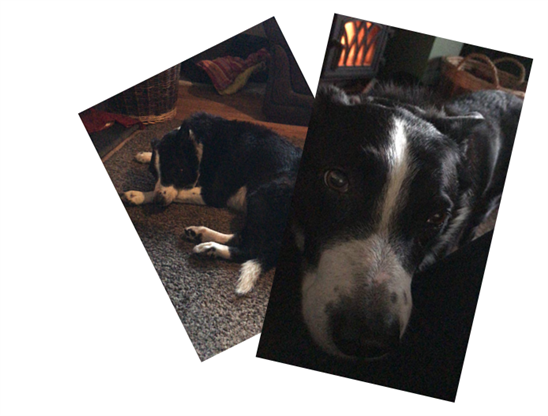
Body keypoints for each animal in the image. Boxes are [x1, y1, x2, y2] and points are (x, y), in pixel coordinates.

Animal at [120, 112, 302, 294]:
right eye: (153, 173)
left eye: (173, 171)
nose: (158, 203)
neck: (198, 145)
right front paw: (144, 155)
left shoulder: (212, 194)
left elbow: (179, 192)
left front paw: (138, 194)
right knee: (240, 238)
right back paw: (200, 234)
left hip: (262, 195)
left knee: (249, 249)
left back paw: (210, 248)